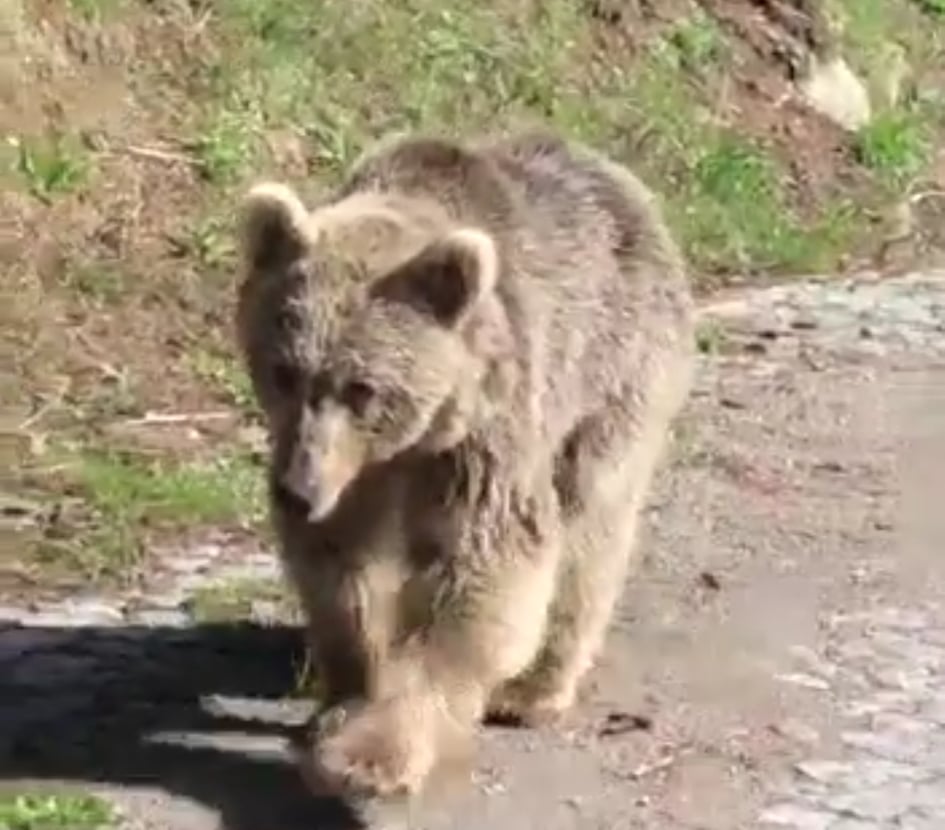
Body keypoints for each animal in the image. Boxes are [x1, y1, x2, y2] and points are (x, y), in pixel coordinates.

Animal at [234, 130, 692, 808]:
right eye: (284, 370)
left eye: (363, 387)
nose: (297, 490)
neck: (404, 446)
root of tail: (621, 179)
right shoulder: (353, 477)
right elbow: (343, 573)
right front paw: (343, 699)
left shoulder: (483, 436)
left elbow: (484, 570)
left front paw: (369, 757)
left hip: (614, 377)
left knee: (591, 530)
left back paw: (535, 688)